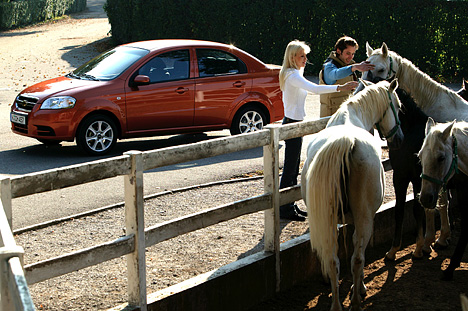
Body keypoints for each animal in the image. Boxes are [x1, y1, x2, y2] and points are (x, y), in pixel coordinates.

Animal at [302, 80, 404, 311]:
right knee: (357, 258)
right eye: (398, 105)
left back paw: (336, 304)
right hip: (365, 217)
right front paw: (361, 286)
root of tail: (346, 141)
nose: (399, 138)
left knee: (332, 259)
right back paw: (356, 301)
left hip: (330, 218)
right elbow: (358, 252)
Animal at [362, 42, 468, 255]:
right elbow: (438, 203)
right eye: (364, 65)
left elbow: (431, 205)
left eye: (381, 70)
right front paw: (440, 238)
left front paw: (427, 243)